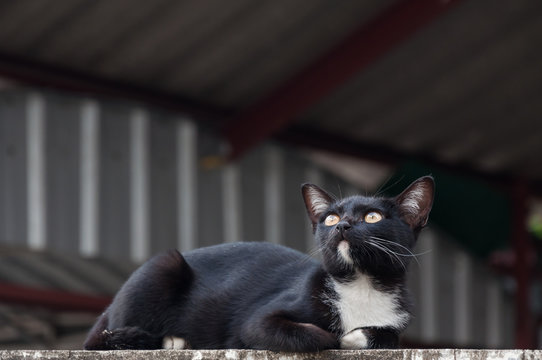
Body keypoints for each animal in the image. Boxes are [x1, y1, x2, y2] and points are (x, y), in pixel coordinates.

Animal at [85, 177, 436, 352]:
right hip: (163, 264)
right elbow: (307, 334)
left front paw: (357, 336)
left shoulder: (395, 319)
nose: (343, 226)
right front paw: (337, 337)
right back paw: (168, 340)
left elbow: (390, 336)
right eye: (330, 218)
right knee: (96, 341)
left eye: (373, 217)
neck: (361, 284)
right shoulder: (257, 321)